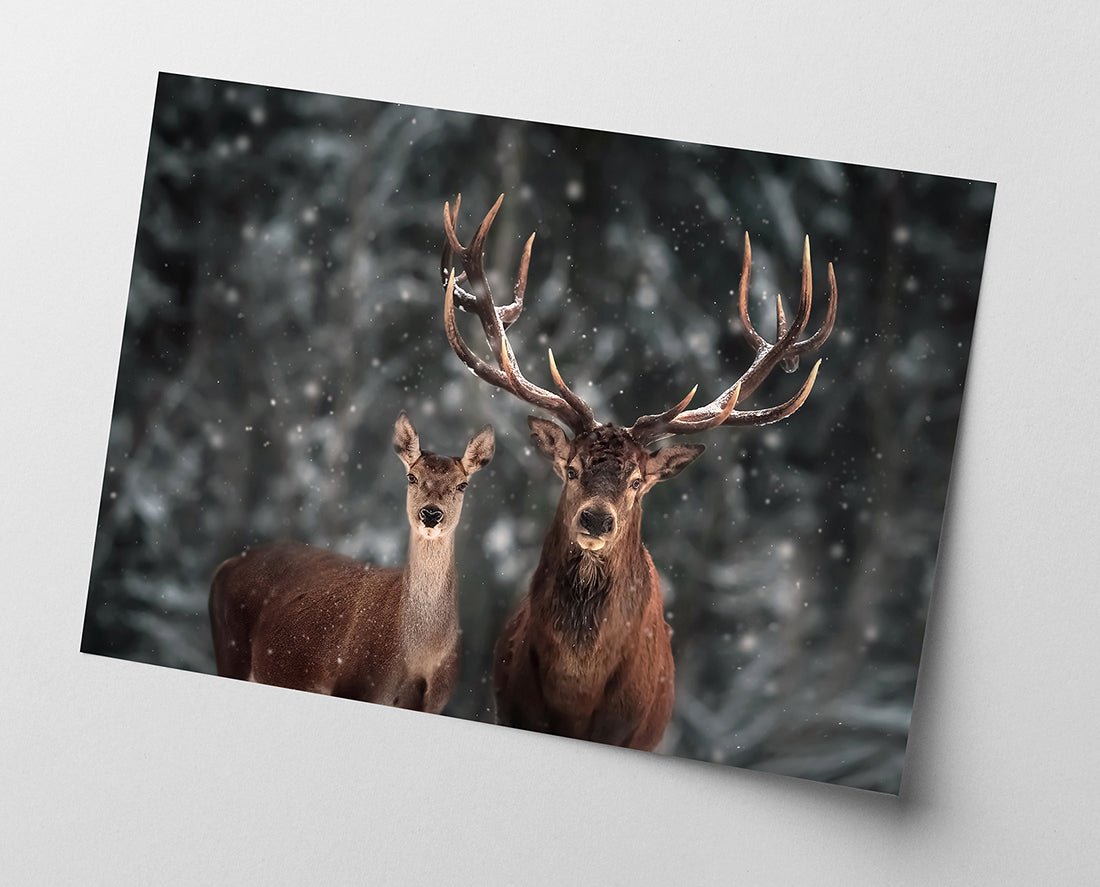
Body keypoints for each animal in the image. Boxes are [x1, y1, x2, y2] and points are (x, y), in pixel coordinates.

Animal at [208, 411, 494, 713]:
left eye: (462, 484)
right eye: (412, 477)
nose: (430, 513)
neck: (418, 657)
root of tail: (225, 565)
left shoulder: (435, 703)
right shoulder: (355, 683)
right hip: (230, 649)